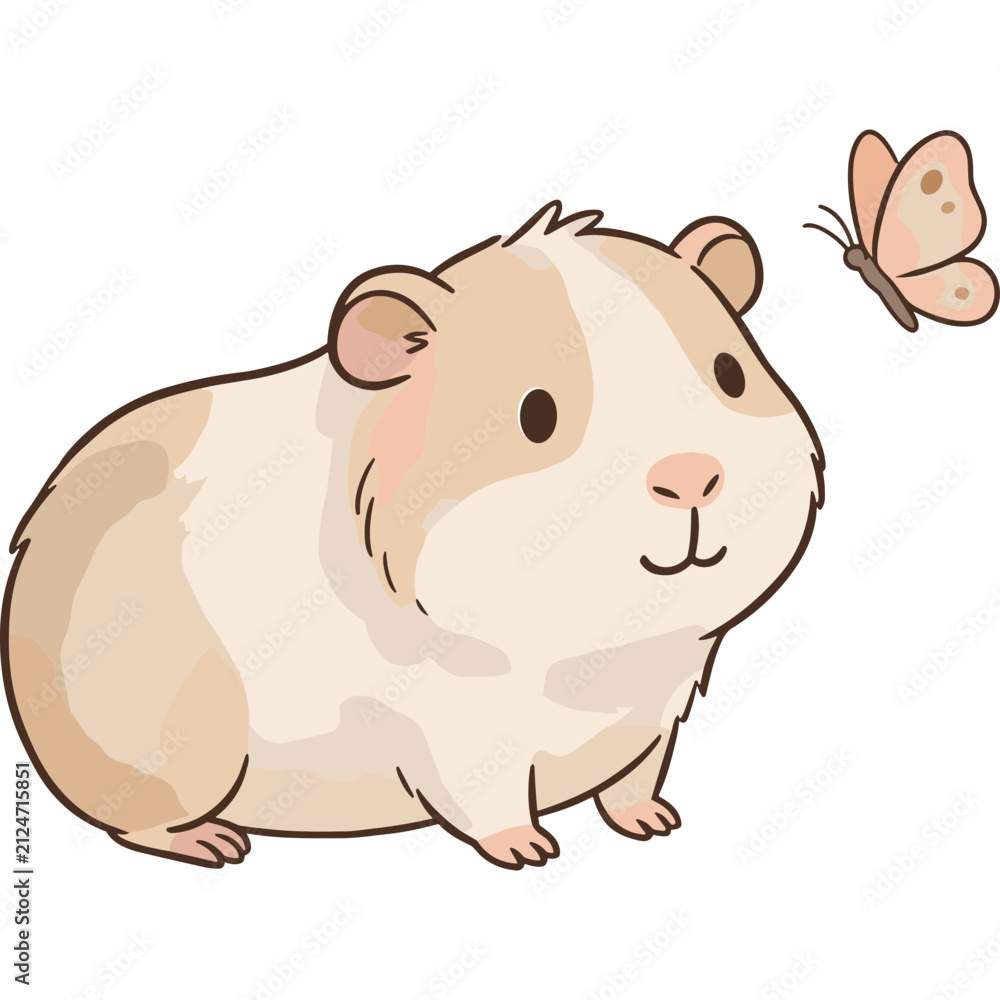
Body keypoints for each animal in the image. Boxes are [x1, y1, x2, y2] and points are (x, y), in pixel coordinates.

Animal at [2, 201, 823, 869]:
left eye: (730, 372)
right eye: (535, 414)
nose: (691, 478)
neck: (602, 650)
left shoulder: (656, 716)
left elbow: (634, 783)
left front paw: (657, 823)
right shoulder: (463, 737)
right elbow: (490, 801)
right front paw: (531, 853)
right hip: (181, 757)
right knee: (137, 821)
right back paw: (216, 845)